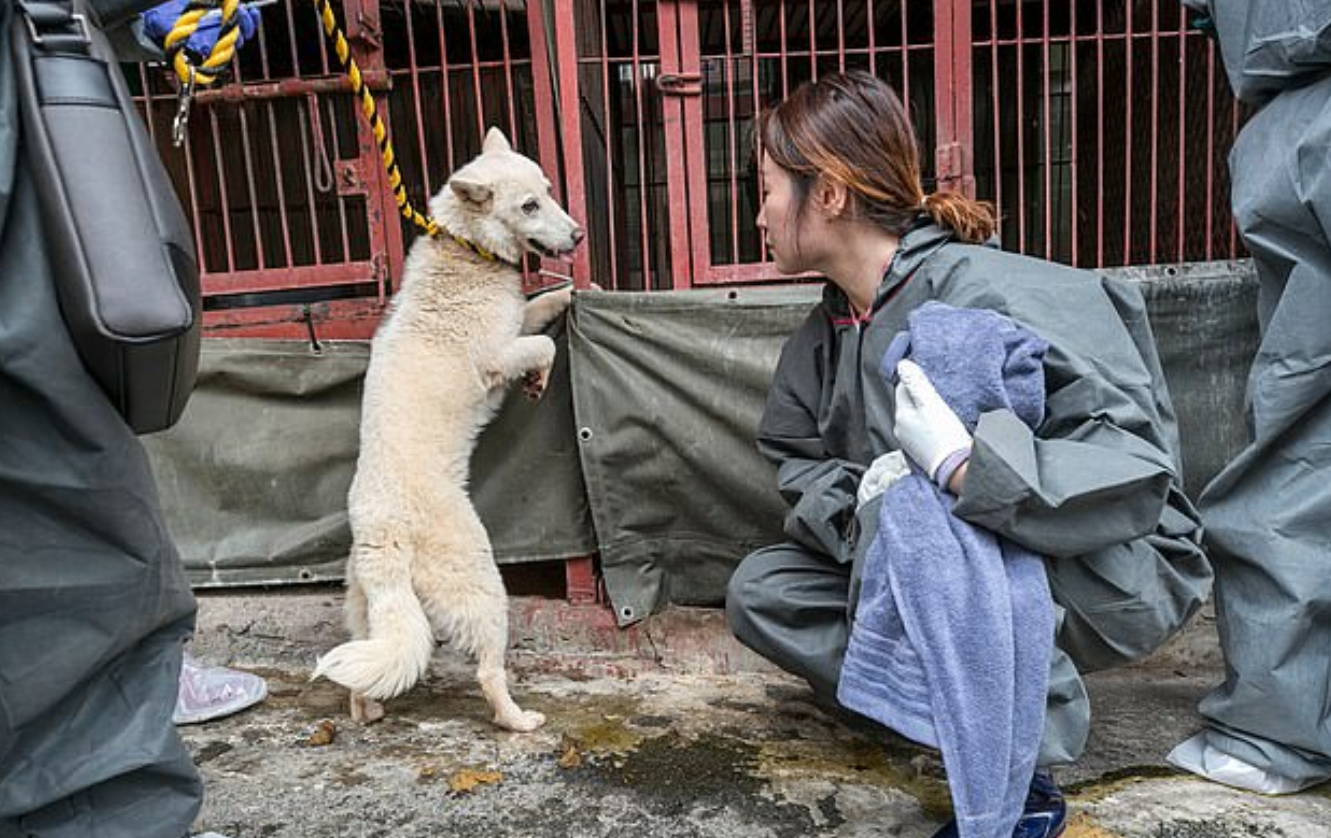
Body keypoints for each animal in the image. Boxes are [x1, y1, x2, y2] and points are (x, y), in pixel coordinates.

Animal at [314, 128, 585, 734]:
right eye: (528, 206)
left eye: (548, 190)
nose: (578, 234)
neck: (468, 249)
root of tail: (382, 536)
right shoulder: (498, 356)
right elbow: (545, 344)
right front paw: (539, 380)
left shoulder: (516, 320)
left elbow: (543, 304)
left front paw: (578, 290)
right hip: (481, 584)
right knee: (488, 671)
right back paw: (518, 720)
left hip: (369, 609)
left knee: (365, 670)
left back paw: (368, 710)